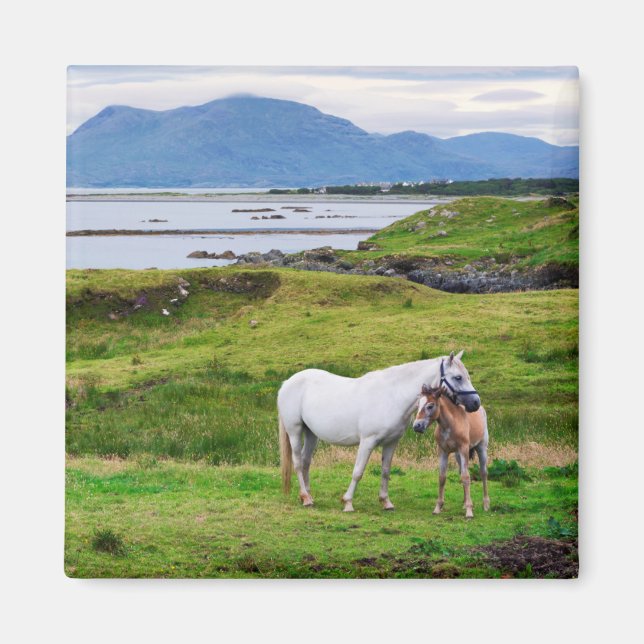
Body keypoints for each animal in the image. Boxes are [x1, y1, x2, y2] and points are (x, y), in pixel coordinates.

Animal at [278, 351, 480, 512]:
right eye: (458, 377)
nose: (476, 403)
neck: (393, 396)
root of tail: (287, 382)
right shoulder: (367, 441)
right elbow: (358, 471)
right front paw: (348, 502)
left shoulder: (391, 443)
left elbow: (385, 471)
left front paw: (386, 502)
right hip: (295, 431)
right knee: (298, 462)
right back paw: (306, 498)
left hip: (311, 434)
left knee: (306, 462)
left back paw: (308, 496)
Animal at [412, 384, 489, 518]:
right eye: (418, 404)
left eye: (430, 405)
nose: (417, 426)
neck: (449, 425)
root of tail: (481, 409)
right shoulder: (442, 451)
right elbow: (442, 477)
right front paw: (438, 507)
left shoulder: (463, 448)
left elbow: (466, 477)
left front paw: (469, 511)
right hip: (458, 455)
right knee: (461, 471)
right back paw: (464, 503)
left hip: (481, 448)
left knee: (483, 473)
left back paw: (485, 504)